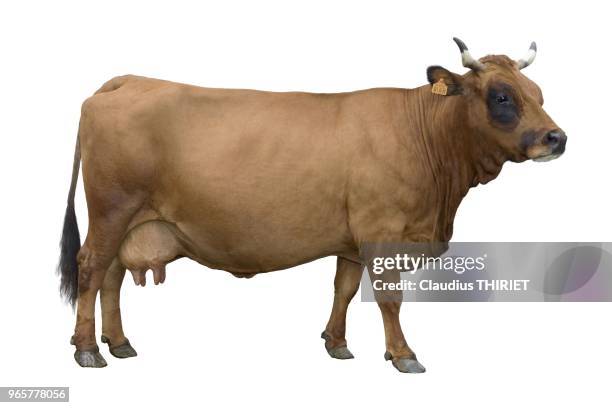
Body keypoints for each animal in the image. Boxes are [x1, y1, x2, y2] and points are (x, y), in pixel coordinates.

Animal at [59, 38, 568, 372]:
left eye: (539, 95)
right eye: (502, 96)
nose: (556, 138)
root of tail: (128, 81)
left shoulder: (352, 239)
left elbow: (343, 288)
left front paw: (336, 343)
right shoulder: (383, 233)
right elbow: (390, 299)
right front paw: (403, 354)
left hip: (129, 220)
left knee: (112, 276)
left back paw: (118, 342)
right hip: (112, 210)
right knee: (92, 268)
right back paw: (88, 349)